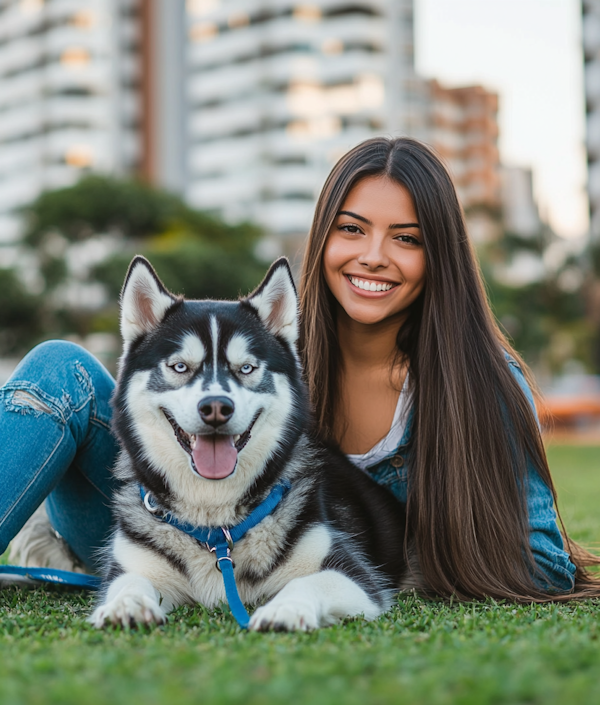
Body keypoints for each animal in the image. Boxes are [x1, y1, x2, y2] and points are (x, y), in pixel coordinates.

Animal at [91, 256, 414, 628]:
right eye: (180, 366)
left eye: (246, 368)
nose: (216, 407)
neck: (216, 527)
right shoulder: (134, 564)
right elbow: (129, 581)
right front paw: (126, 605)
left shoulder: (354, 576)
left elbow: (305, 582)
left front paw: (284, 610)